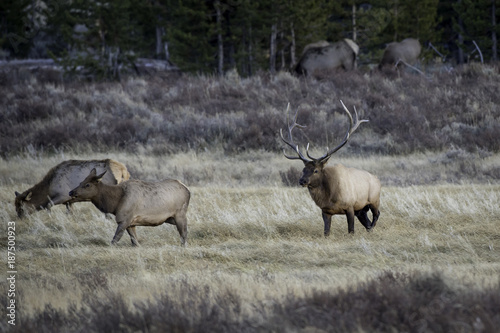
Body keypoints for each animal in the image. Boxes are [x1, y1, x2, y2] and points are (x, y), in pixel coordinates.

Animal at [280, 101, 380, 236]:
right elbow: (326, 232)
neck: (330, 197)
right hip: (361, 209)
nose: (302, 181)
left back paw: (371, 228)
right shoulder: (325, 211)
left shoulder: (350, 206)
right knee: (367, 220)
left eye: (316, 170)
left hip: (374, 200)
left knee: (376, 215)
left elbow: (351, 230)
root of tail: (378, 179)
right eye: (303, 170)